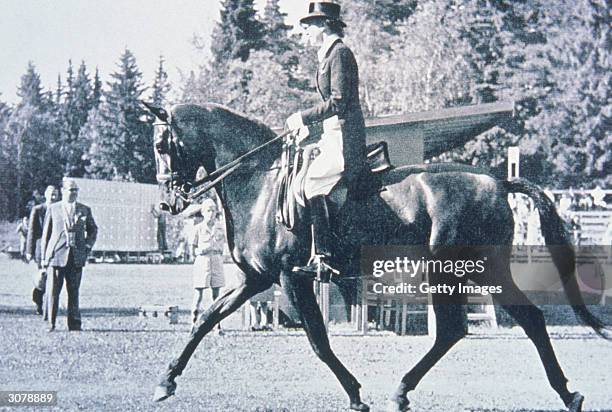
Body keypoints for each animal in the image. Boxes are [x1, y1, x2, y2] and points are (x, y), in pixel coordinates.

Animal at [146, 101, 608, 410]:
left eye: (164, 145)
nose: (168, 202)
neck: (260, 184)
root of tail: (497, 182)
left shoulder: (292, 279)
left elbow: (318, 342)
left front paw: (355, 394)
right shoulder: (257, 279)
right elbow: (205, 320)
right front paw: (165, 381)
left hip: (453, 270)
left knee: (458, 328)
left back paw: (404, 390)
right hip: (480, 271)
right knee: (520, 321)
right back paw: (566, 393)